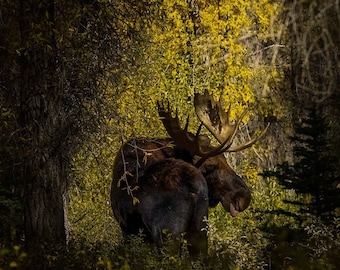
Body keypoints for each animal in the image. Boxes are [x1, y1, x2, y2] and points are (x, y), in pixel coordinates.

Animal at [111, 91, 268, 255]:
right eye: (210, 166)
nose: (244, 198)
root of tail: (193, 187)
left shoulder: (127, 229)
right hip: (199, 229)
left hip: (167, 232)